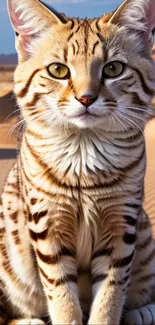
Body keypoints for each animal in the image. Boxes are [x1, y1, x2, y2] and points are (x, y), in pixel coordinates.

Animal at [0, 0, 155, 322]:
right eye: (58, 70)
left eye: (113, 68)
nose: (86, 98)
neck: (84, 156)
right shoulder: (48, 226)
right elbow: (62, 297)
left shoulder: (121, 226)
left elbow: (110, 297)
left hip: (145, 235)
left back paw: (143, 311)